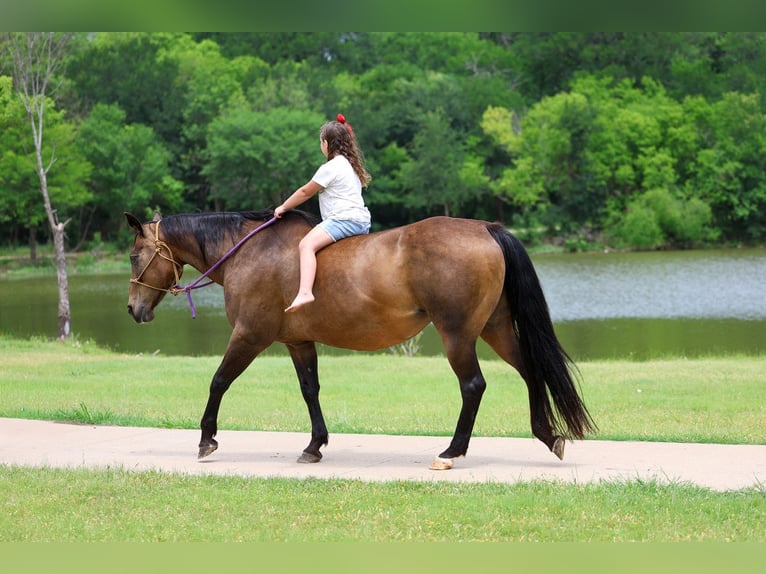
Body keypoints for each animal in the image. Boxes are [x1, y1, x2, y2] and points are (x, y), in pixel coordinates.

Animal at [125, 209, 596, 470]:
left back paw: (452, 451)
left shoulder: (249, 335)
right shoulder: (298, 342)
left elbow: (218, 381)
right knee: (531, 371)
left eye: (132, 255)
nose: (132, 309)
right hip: (494, 328)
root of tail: (485, 228)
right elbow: (310, 390)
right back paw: (547, 435)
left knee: (473, 386)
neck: (248, 250)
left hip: (458, 334)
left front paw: (206, 439)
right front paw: (314, 445)